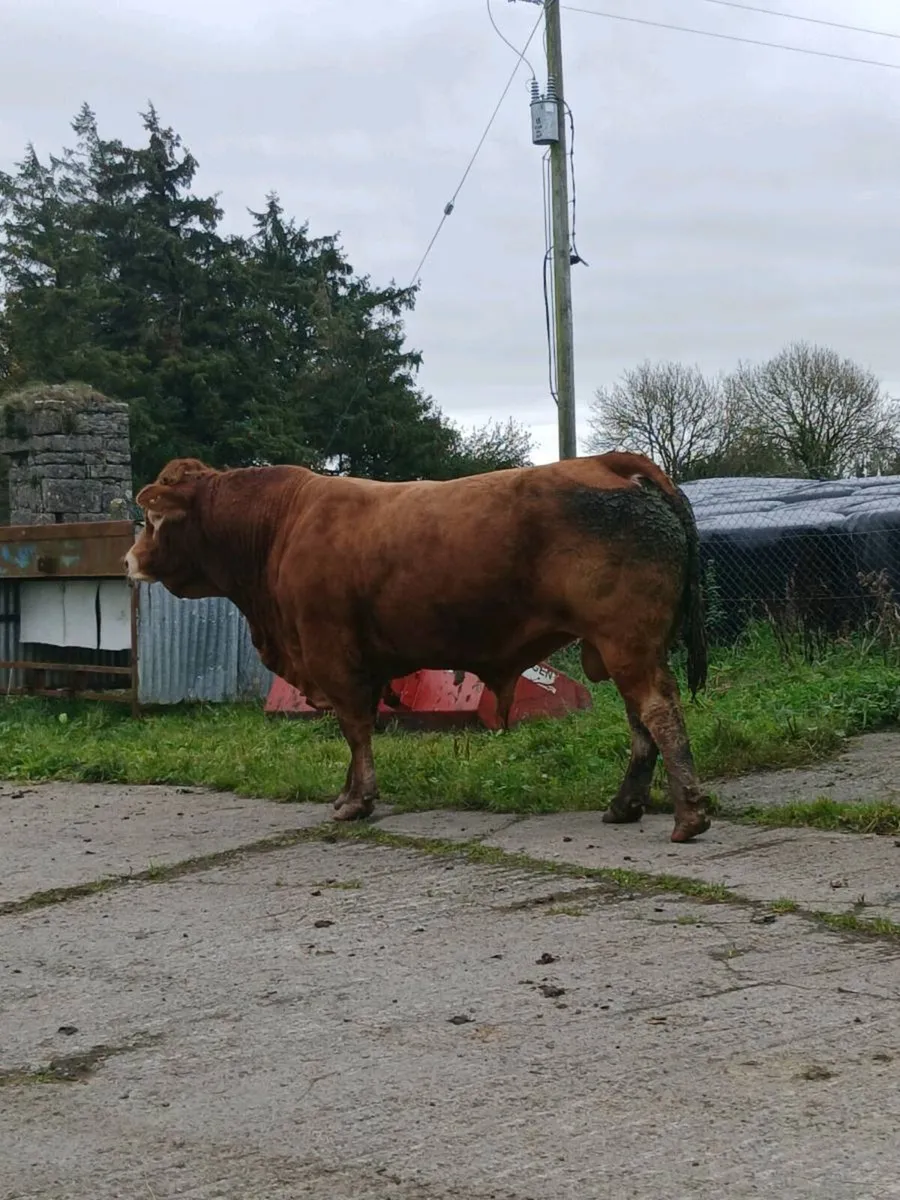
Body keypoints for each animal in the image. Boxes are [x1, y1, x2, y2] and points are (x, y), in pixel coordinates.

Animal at [125, 451, 712, 842]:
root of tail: (611, 462)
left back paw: (689, 816)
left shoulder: (332, 654)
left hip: (626, 640)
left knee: (658, 711)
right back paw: (625, 805)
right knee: (641, 721)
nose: (129, 561)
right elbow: (355, 733)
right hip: (623, 644)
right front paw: (346, 794)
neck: (281, 526)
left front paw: (357, 801)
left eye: (152, 519)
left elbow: (355, 729)